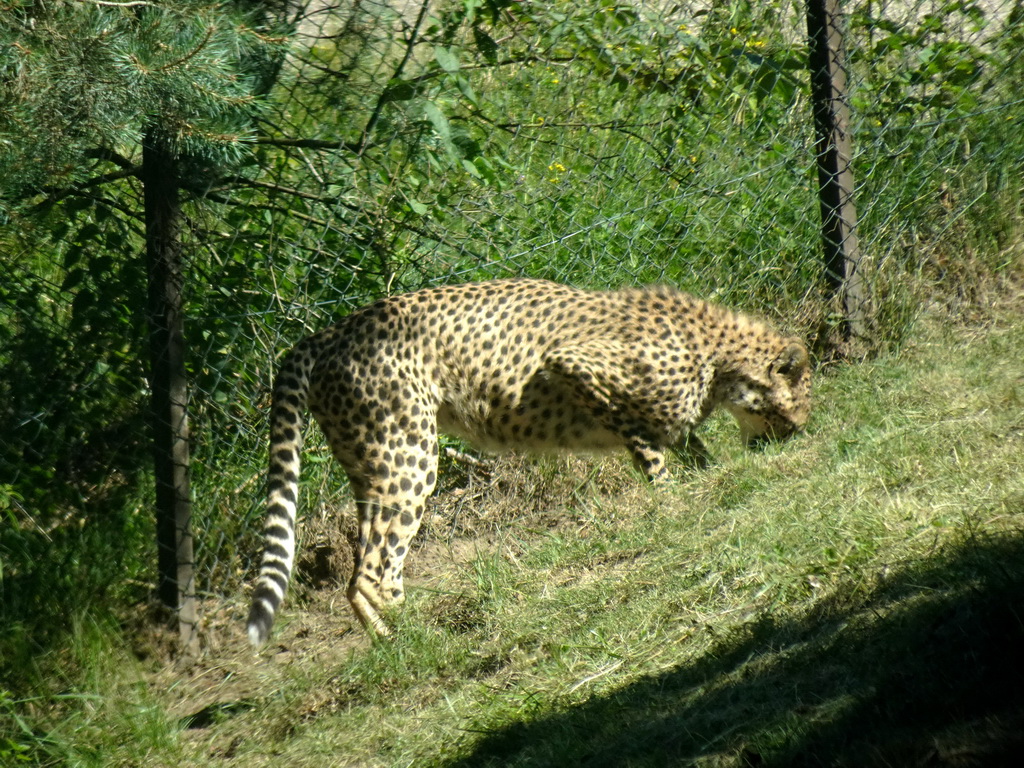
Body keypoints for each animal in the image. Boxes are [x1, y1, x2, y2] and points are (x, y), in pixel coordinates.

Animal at [247, 280, 806, 647]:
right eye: (795, 404)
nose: (795, 435)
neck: (718, 358)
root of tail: (328, 332)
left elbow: (691, 445)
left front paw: (707, 479)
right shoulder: (576, 366)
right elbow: (652, 453)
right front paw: (677, 506)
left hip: (370, 467)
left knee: (370, 565)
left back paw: (401, 635)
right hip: (408, 458)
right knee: (368, 573)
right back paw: (414, 641)